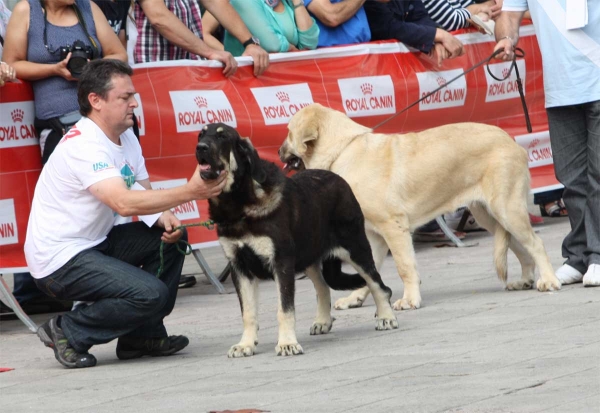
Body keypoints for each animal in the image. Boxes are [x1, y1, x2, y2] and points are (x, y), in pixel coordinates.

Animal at [195, 123, 396, 358]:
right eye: (200, 134)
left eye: (222, 136)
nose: (201, 147)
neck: (238, 205)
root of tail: (337, 177)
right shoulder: (240, 268)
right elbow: (248, 312)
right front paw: (245, 344)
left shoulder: (281, 263)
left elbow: (285, 308)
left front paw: (287, 343)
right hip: (307, 257)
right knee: (323, 287)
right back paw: (323, 321)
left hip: (355, 248)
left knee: (377, 283)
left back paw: (386, 317)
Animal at [278, 102, 560, 308]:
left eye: (289, 131)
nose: (279, 152)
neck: (344, 151)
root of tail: (512, 141)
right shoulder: (371, 235)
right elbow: (368, 271)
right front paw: (355, 298)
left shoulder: (393, 227)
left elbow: (404, 266)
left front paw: (410, 299)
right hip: (489, 215)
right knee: (521, 248)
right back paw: (524, 280)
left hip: (507, 209)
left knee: (535, 243)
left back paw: (549, 280)